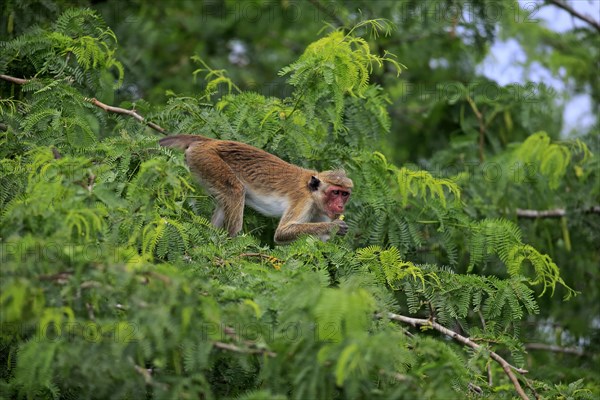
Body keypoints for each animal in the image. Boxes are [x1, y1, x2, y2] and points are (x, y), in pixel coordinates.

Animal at [158, 134, 352, 242]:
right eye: (335, 192)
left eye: (344, 194)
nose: (340, 206)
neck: (313, 194)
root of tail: (209, 142)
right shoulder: (303, 200)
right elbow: (281, 233)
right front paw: (335, 227)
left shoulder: (321, 211)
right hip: (208, 159)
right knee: (236, 191)